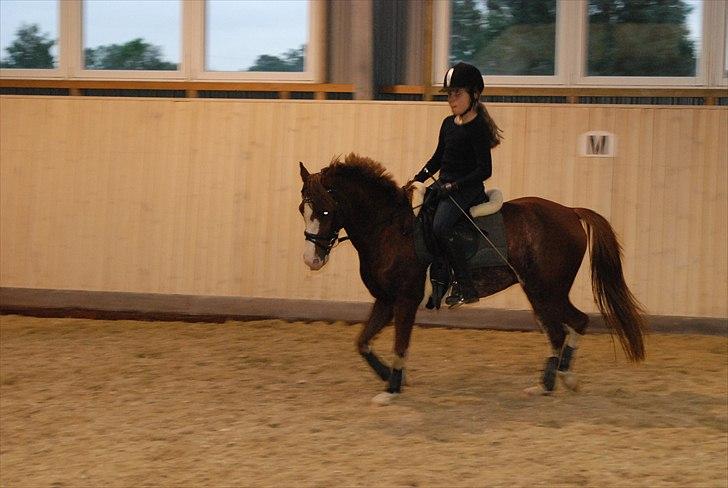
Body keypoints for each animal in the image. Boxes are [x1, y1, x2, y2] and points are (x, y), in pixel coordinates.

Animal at [298, 153, 645, 403]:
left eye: (326, 211)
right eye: (303, 209)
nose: (311, 260)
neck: (390, 229)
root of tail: (571, 212)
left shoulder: (406, 299)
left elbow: (401, 343)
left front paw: (392, 389)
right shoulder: (385, 300)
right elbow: (363, 342)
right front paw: (394, 379)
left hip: (547, 290)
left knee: (571, 326)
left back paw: (558, 381)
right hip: (540, 291)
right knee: (566, 328)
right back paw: (554, 381)